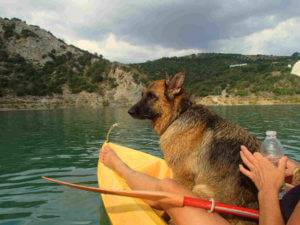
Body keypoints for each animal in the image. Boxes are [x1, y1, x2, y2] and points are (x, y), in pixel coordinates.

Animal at [128, 73, 260, 224]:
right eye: (142, 94)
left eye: (151, 96)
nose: (129, 111)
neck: (179, 115)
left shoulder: (182, 178)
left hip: (199, 190)